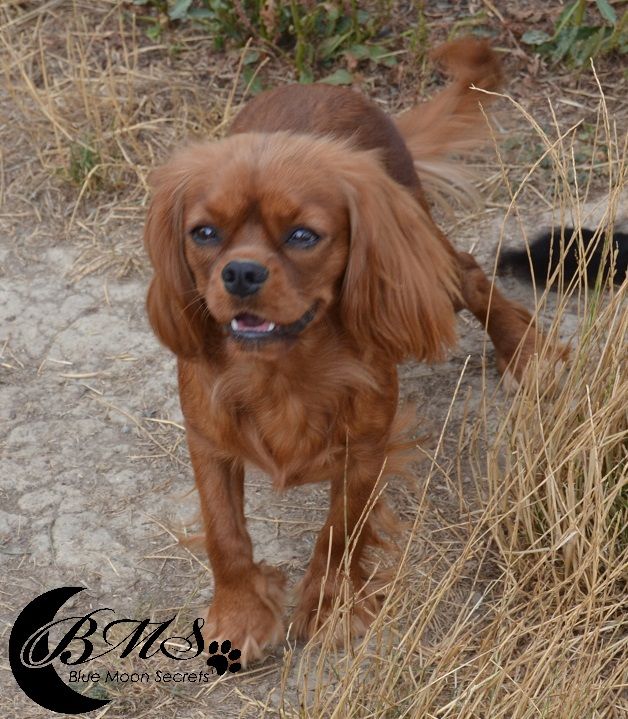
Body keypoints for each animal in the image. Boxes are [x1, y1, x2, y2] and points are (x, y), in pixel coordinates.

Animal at [144, 38, 563, 664]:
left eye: (303, 236)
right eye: (204, 233)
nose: (240, 273)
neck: (283, 369)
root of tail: (328, 87)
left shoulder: (365, 448)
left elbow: (341, 532)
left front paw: (332, 608)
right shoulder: (207, 440)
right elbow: (225, 533)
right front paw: (240, 614)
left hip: (419, 254)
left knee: (468, 274)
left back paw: (524, 350)